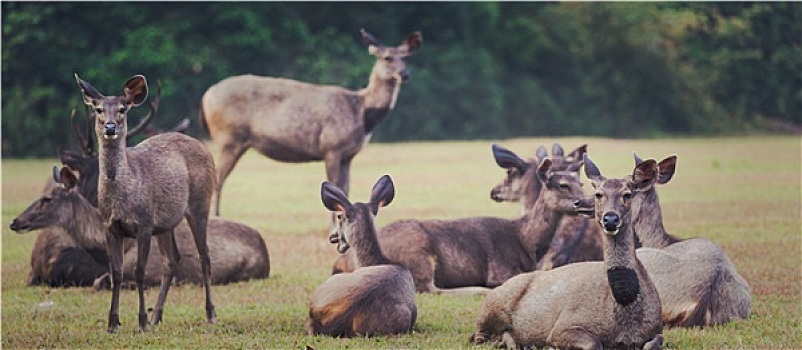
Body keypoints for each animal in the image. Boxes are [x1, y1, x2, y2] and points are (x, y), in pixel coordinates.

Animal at [72, 72, 214, 332]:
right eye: (98, 109)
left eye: (122, 109)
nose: (110, 127)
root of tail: (205, 147)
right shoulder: (110, 226)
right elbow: (116, 273)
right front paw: (113, 323)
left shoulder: (145, 223)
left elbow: (139, 272)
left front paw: (141, 322)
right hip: (166, 222)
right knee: (172, 259)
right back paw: (157, 316)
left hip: (200, 203)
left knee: (205, 256)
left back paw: (210, 313)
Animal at [199, 28, 422, 216]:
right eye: (387, 58)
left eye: (405, 57)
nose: (405, 74)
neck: (362, 112)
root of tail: (206, 96)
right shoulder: (332, 146)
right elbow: (337, 191)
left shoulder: (348, 154)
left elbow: (346, 190)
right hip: (229, 137)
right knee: (218, 179)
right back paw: (216, 217)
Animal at [468, 155, 664, 350]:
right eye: (599, 194)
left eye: (628, 194)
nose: (610, 219)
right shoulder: (563, 325)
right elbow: (594, 344)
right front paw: (552, 346)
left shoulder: (658, 329)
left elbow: (652, 344)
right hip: (491, 308)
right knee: (480, 337)